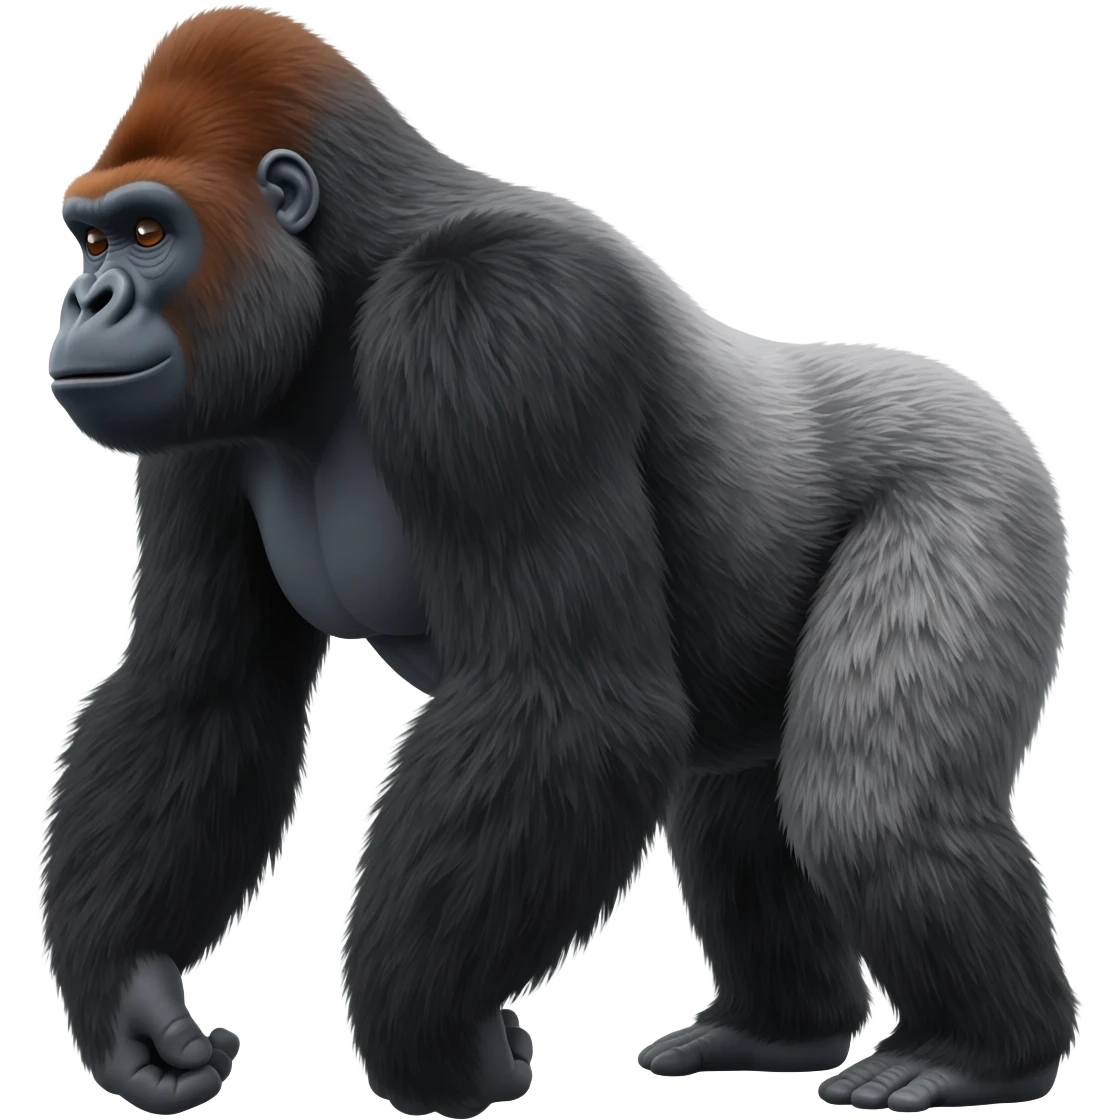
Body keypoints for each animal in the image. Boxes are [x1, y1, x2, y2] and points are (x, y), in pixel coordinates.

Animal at [42, 6, 1077, 1117]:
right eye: (92, 238)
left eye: (151, 234)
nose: (87, 300)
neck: (346, 277)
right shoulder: (207, 414)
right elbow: (201, 689)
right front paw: (130, 996)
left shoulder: (494, 318)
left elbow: (566, 699)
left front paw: (428, 1039)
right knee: (738, 808)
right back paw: (775, 1026)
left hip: (981, 480)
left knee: (870, 806)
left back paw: (986, 1050)